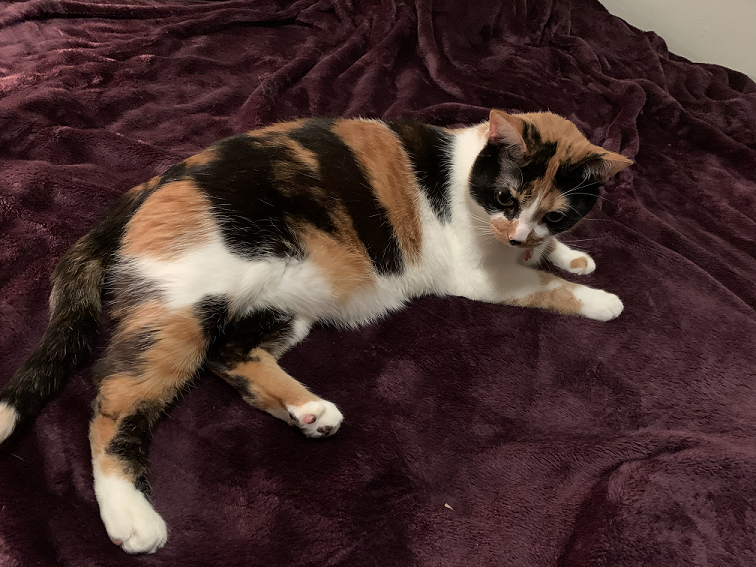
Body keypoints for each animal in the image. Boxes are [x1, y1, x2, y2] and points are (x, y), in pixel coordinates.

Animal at [0, 108, 632, 552]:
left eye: (556, 212)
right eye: (506, 196)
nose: (520, 234)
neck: (465, 175)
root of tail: (145, 190)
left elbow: (551, 256)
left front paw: (572, 255)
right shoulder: (483, 276)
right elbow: (545, 288)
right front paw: (601, 298)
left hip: (282, 306)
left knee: (230, 354)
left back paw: (309, 412)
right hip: (188, 304)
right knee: (115, 401)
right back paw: (131, 515)